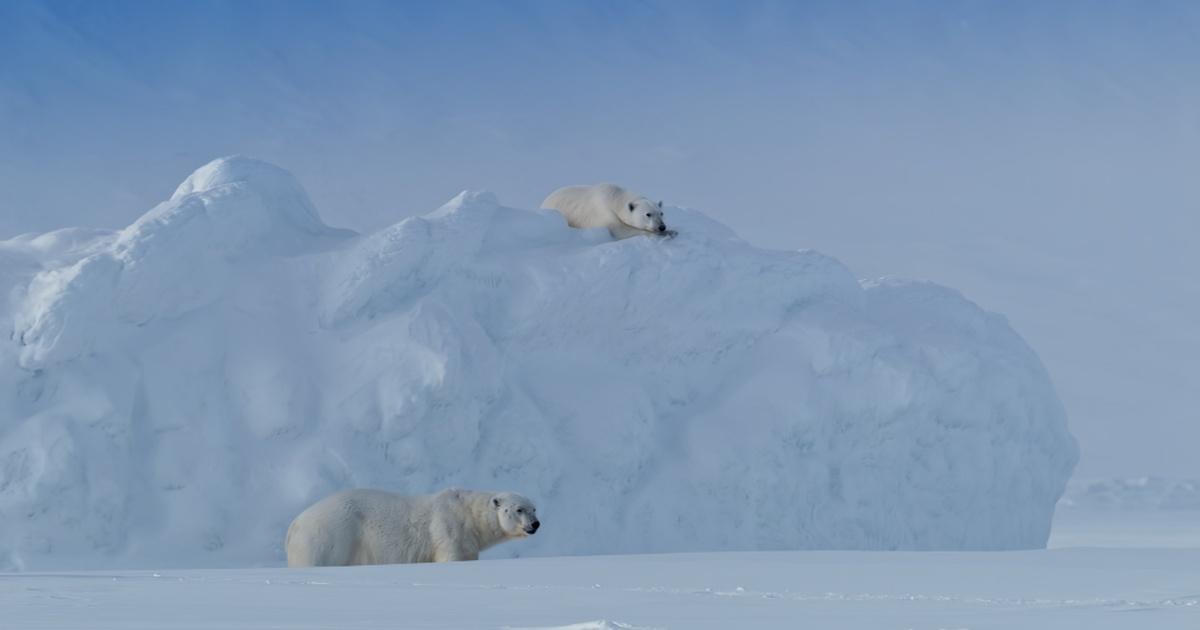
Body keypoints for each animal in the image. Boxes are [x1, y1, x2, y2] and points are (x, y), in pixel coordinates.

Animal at [285, 487, 540, 564]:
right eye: (519, 509)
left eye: (534, 508)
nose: (535, 524)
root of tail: (294, 524)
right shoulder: (447, 529)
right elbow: (450, 557)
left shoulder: (468, 542)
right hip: (331, 536)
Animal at [544, 184, 676, 241]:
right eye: (648, 214)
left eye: (661, 213)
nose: (662, 227)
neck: (614, 197)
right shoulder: (603, 211)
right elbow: (619, 230)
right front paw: (669, 233)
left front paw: (671, 231)